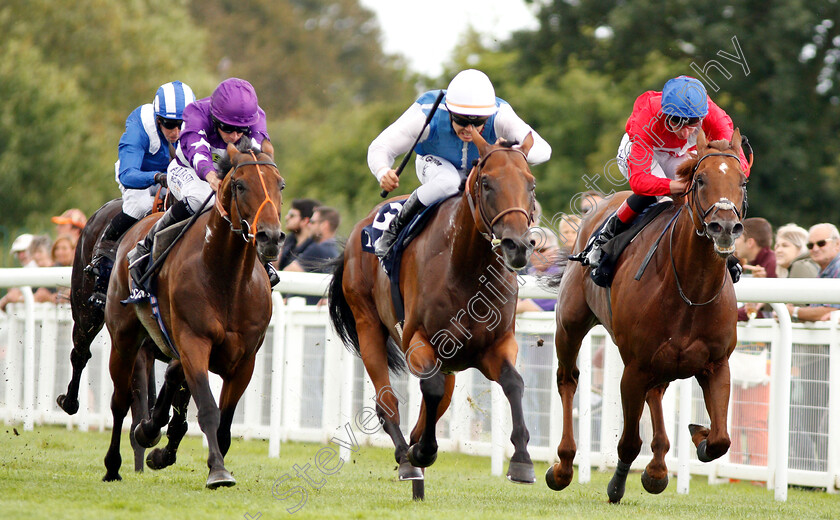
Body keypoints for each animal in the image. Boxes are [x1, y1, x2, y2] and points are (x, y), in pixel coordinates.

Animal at [101, 139, 286, 488]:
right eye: (240, 185)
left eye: (279, 184)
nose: (270, 237)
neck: (227, 278)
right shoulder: (194, 342)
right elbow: (209, 410)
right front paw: (218, 472)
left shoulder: (245, 360)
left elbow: (224, 424)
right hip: (124, 337)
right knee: (118, 402)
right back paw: (113, 465)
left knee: (170, 380)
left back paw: (150, 432)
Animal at [328, 128, 540, 498]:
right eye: (487, 183)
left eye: (530, 183)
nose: (517, 245)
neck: (469, 269)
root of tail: (361, 228)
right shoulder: (418, 341)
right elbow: (431, 388)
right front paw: (423, 452)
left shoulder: (496, 345)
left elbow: (514, 383)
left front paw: (522, 461)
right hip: (368, 324)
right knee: (388, 404)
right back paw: (408, 460)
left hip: (452, 362)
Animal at [544, 130, 748, 504]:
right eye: (700, 180)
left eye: (741, 181)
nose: (725, 226)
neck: (691, 289)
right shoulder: (634, 369)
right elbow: (627, 442)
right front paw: (615, 486)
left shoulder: (716, 364)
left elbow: (720, 439)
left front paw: (697, 435)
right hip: (569, 324)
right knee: (568, 379)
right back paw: (563, 466)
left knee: (657, 394)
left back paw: (658, 466)